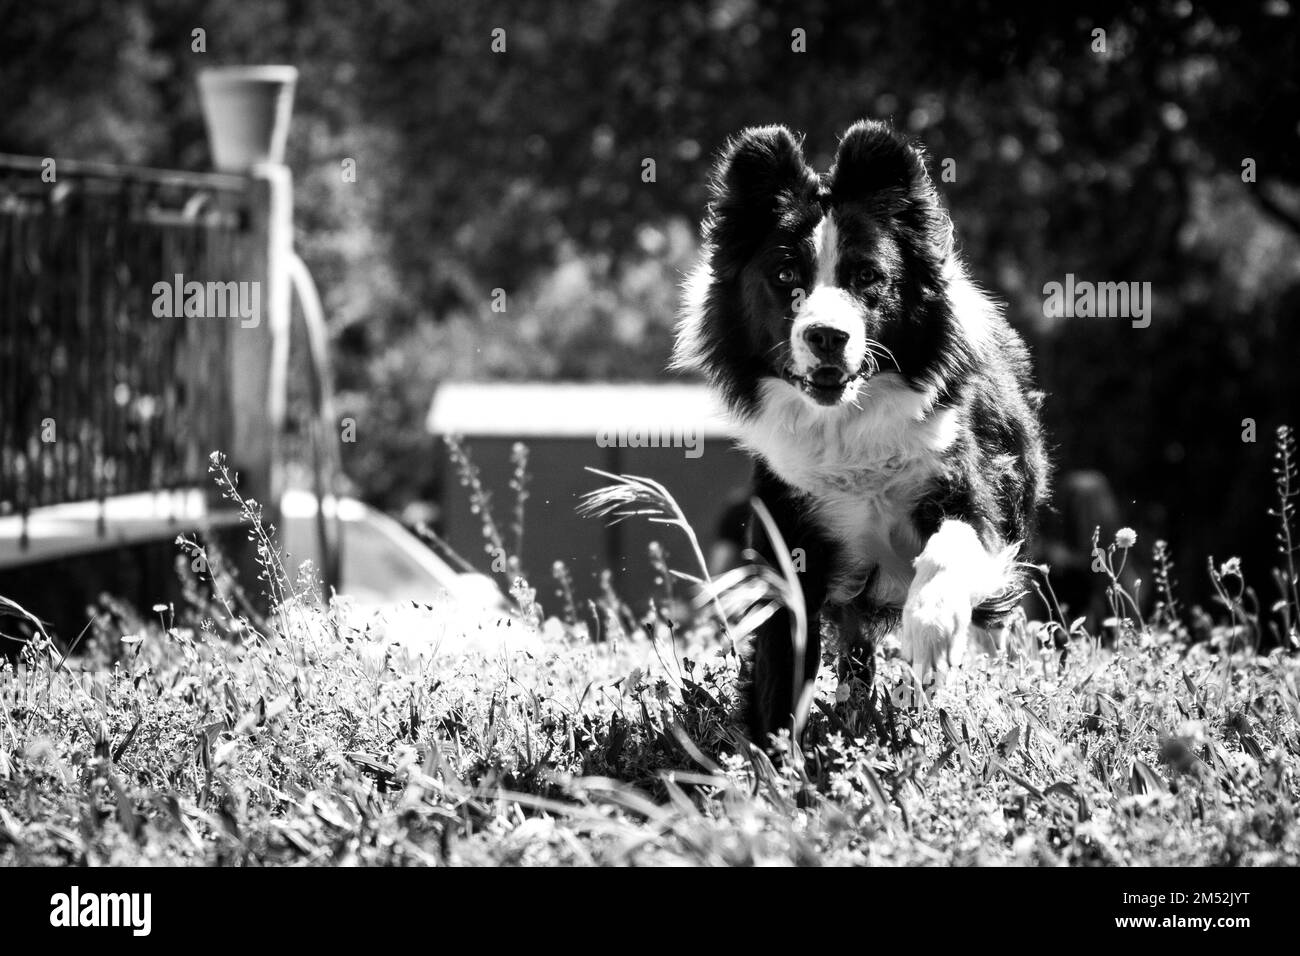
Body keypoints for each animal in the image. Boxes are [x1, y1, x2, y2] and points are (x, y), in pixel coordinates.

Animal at [676, 119, 1050, 743]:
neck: (847, 421)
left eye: (868, 277)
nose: (827, 336)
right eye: (784, 276)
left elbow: (964, 529)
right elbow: (785, 637)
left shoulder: (956, 454)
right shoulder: (791, 498)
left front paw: (931, 634)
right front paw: (776, 754)